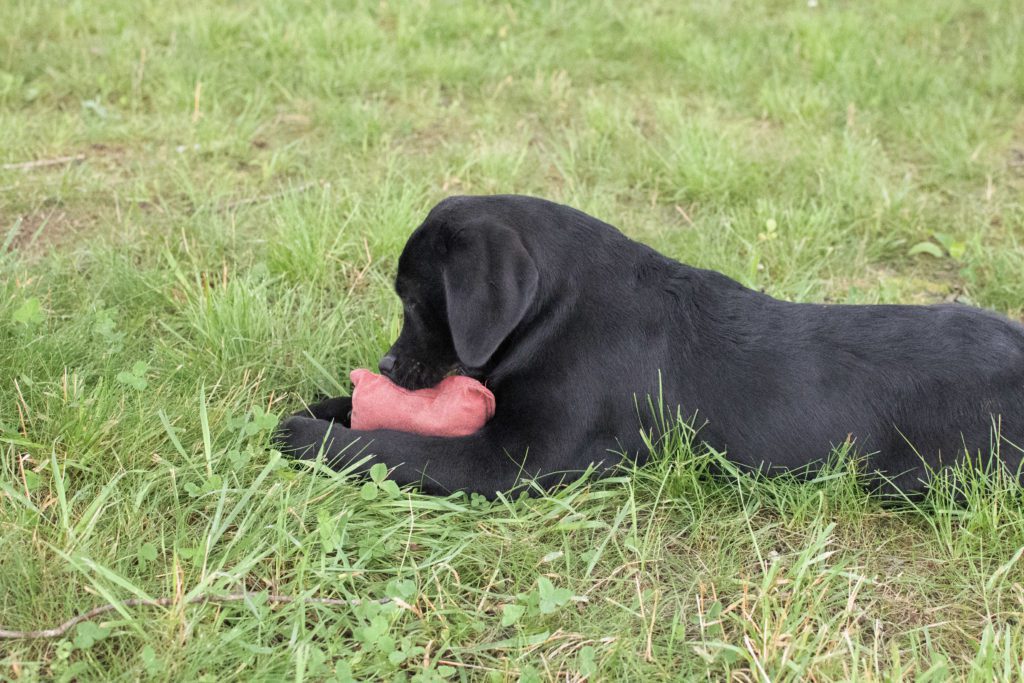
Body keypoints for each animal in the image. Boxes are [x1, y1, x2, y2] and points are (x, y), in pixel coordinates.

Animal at [276, 194, 1019, 499]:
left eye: (411, 299)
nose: (386, 366)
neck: (561, 310)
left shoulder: (515, 461)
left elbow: (396, 446)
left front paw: (306, 435)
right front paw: (326, 406)